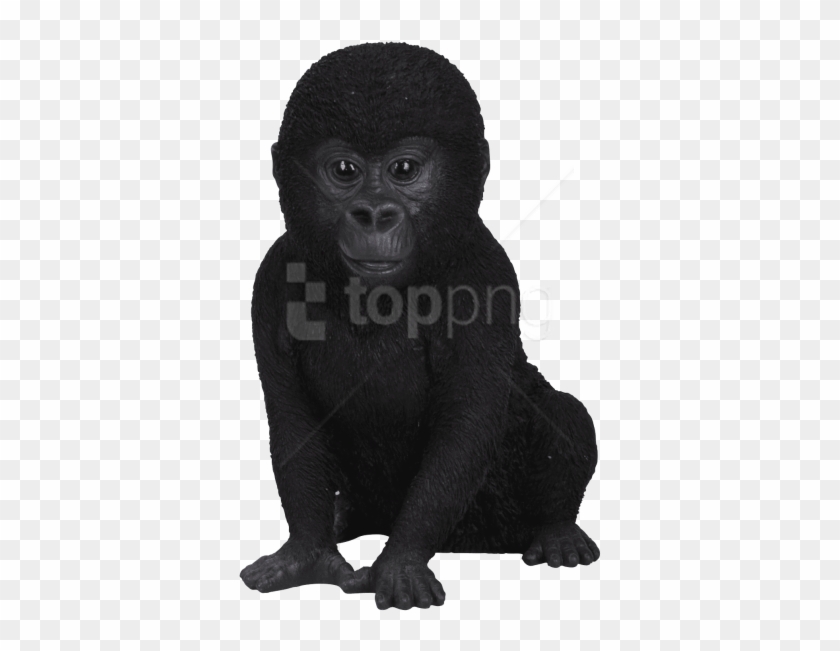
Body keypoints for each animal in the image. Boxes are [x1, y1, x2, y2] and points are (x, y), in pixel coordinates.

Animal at [240, 42, 600, 610]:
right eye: (344, 169)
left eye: (404, 169)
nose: (373, 214)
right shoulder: (272, 280)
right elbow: (293, 418)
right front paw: (307, 553)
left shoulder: (482, 272)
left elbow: (466, 424)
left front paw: (400, 562)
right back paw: (346, 519)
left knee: (566, 412)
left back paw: (558, 530)